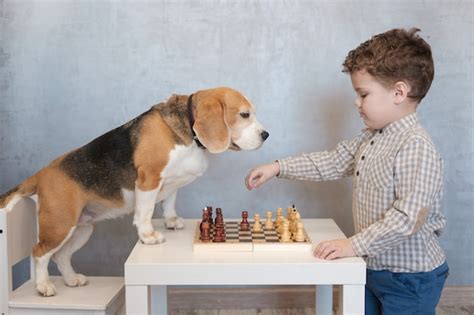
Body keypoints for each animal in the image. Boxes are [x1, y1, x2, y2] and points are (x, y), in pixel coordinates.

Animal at [0, 86, 268, 296]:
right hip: (59, 225)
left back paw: (71, 279)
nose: (266, 134)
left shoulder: (172, 182)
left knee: (61, 256)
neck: (188, 131)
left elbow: (169, 202)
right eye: (244, 114)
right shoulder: (148, 179)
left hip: (82, 228)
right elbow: (145, 213)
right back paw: (43, 286)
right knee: (39, 253)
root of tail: (42, 173)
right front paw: (148, 236)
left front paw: (171, 222)